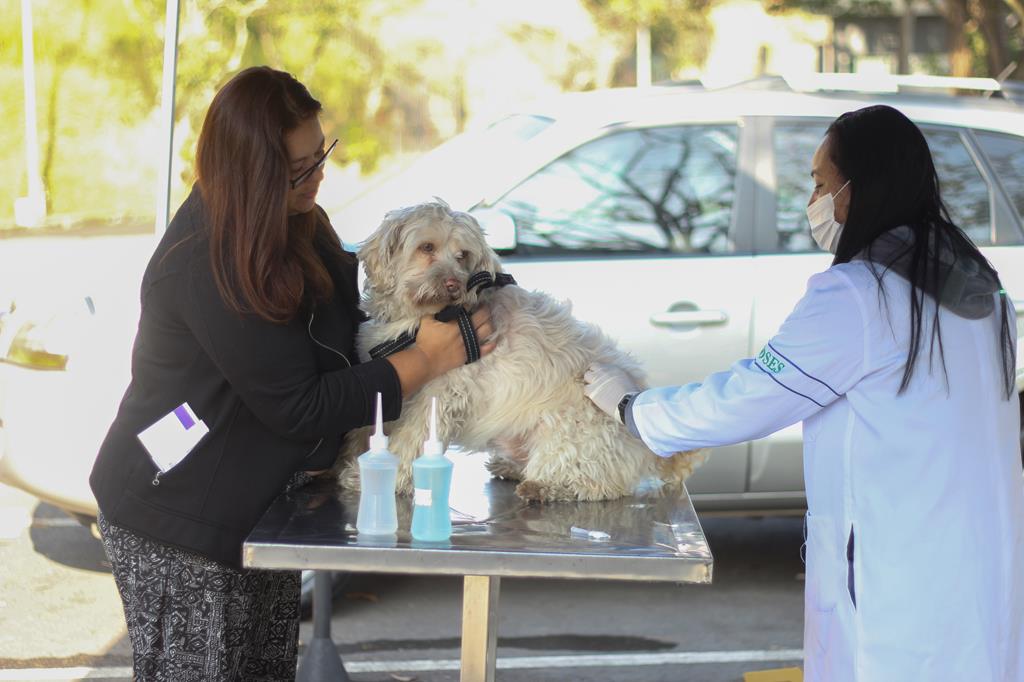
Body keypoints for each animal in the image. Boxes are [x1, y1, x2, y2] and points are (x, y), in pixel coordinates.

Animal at [342, 197, 704, 499]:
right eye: (426, 247)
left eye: (463, 256)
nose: (453, 284)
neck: (422, 319)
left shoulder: (440, 395)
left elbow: (410, 440)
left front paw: (375, 477)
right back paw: (512, 468)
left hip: (571, 437)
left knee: (595, 485)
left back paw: (543, 487)